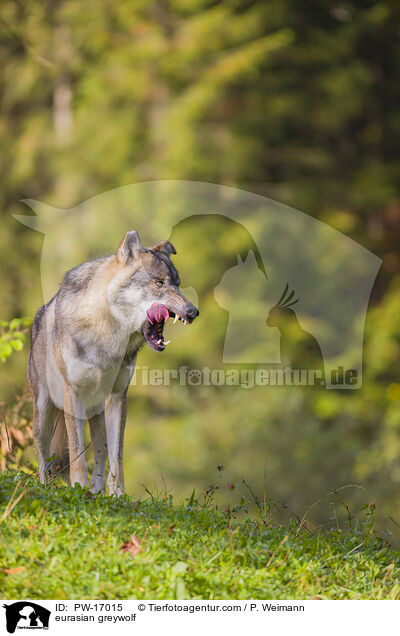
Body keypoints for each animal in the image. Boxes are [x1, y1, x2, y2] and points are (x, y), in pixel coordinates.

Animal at [28, 230, 198, 496]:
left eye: (178, 284)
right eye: (159, 283)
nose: (193, 312)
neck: (106, 332)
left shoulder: (118, 396)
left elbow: (116, 457)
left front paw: (118, 494)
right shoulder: (72, 393)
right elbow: (77, 454)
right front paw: (78, 488)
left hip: (97, 411)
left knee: (100, 451)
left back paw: (97, 491)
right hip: (44, 415)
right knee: (43, 457)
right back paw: (47, 486)